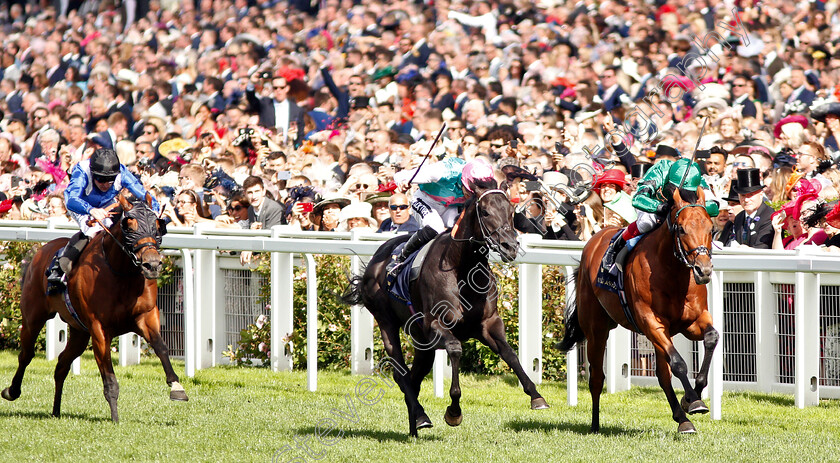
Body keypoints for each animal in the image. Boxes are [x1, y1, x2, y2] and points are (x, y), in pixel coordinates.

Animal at [1, 190, 188, 422]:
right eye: (129, 226)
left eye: (158, 225)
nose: (152, 265)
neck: (121, 274)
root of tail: (40, 251)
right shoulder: (99, 329)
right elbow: (109, 377)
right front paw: (115, 418)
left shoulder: (145, 316)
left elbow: (161, 347)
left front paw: (177, 387)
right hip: (33, 318)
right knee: (26, 355)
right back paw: (12, 391)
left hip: (80, 332)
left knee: (61, 364)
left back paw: (56, 410)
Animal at [342, 178, 552, 438]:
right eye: (485, 212)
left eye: (511, 212)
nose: (510, 246)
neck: (462, 269)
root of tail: (375, 261)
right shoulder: (435, 326)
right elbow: (455, 349)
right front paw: (453, 411)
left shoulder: (488, 324)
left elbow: (510, 353)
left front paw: (536, 396)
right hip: (386, 323)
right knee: (400, 373)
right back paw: (421, 416)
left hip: (421, 342)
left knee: (413, 377)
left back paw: (414, 425)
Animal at [560, 187, 720, 434]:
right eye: (681, 228)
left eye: (711, 229)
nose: (703, 270)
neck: (672, 274)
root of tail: (593, 241)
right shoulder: (651, 323)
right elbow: (679, 364)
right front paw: (693, 400)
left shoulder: (692, 322)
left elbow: (711, 338)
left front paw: (691, 399)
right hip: (596, 330)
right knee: (596, 378)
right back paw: (595, 425)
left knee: (663, 376)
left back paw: (682, 419)